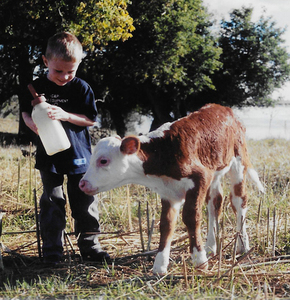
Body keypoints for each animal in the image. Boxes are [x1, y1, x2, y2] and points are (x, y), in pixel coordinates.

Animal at [78, 104, 264, 276]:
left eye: (103, 161)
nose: (82, 184)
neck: (163, 153)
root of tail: (223, 108)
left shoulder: (200, 178)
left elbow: (191, 217)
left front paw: (199, 261)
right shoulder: (168, 192)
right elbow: (166, 224)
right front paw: (160, 265)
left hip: (238, 161)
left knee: (238, 201)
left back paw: (242, 246)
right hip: (216, 169)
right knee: (215, 203)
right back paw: (211, 247)